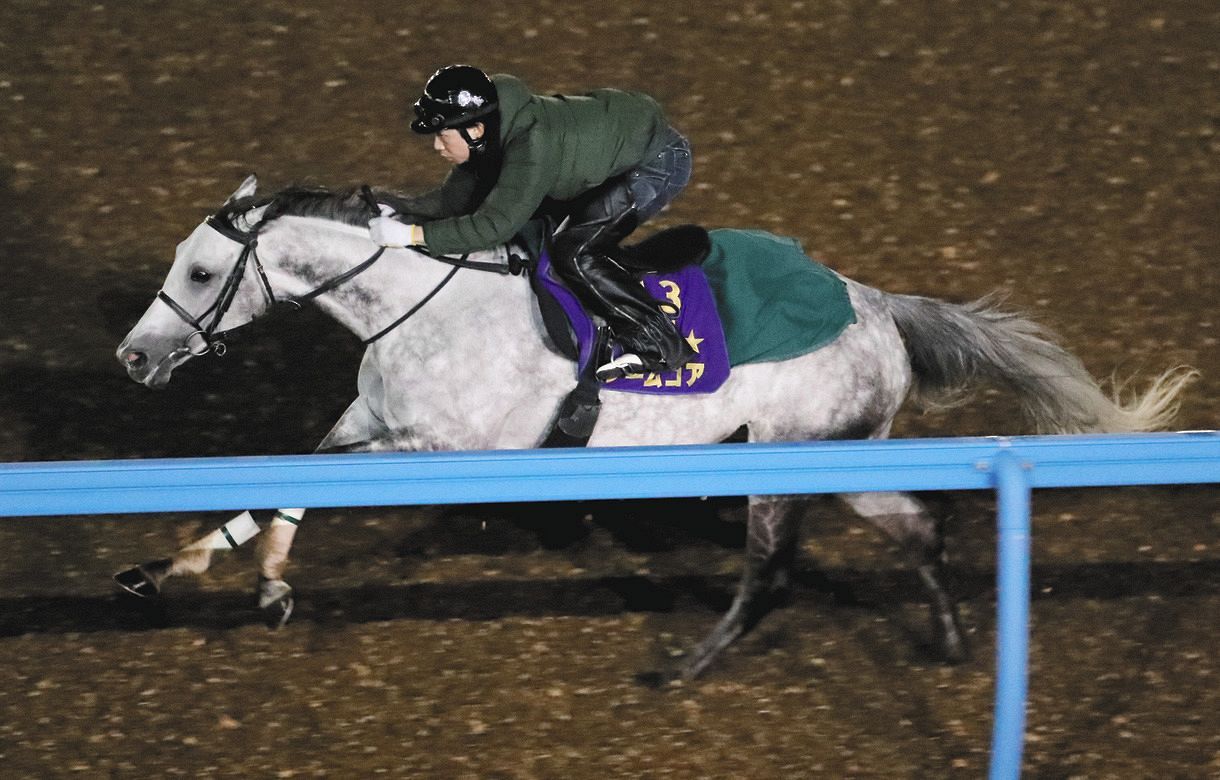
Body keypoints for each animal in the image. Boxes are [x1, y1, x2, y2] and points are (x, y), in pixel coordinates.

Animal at [112, 175, 1190, 678]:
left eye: (201, 273)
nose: (133, 358)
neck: (420, 311)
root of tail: (881, 309)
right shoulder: (369, 421)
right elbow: (283, 481)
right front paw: (196, 571)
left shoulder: (449, 452)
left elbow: (300, 486)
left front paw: (250, 578)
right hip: (834, 461)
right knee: (921, 525)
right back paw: (954, 639)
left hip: (786, 467)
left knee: (772, 576)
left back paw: (686, 668)